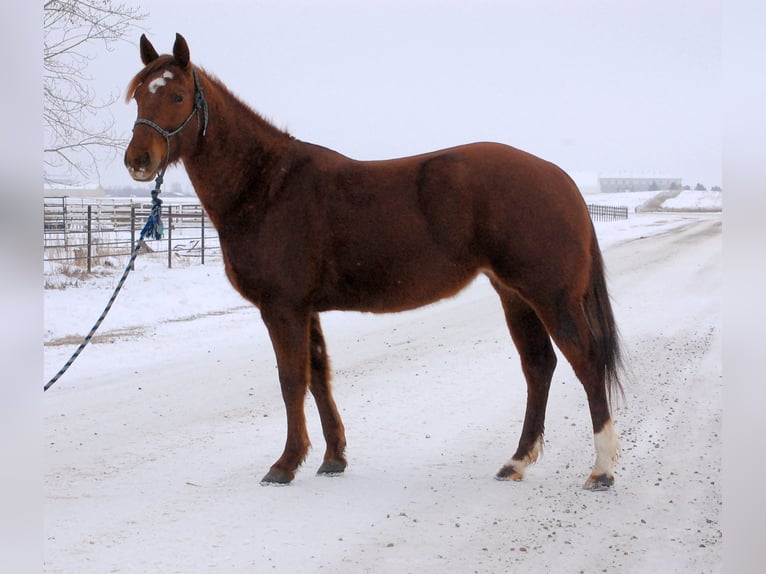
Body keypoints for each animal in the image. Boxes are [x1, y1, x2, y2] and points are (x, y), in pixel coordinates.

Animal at [124, 35, 624, 490]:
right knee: (539, 366)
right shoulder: (305, 308)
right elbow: (319, 376)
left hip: (551, 297)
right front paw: (332, 458)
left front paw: (285, 464)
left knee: (585, 360)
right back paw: (516, 462)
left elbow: (291, 380)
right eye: (140, 95)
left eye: (177, 96)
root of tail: (560, 179)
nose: (138, 161)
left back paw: (601, 469)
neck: (267, 186)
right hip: (515, 295)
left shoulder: (282, 307)